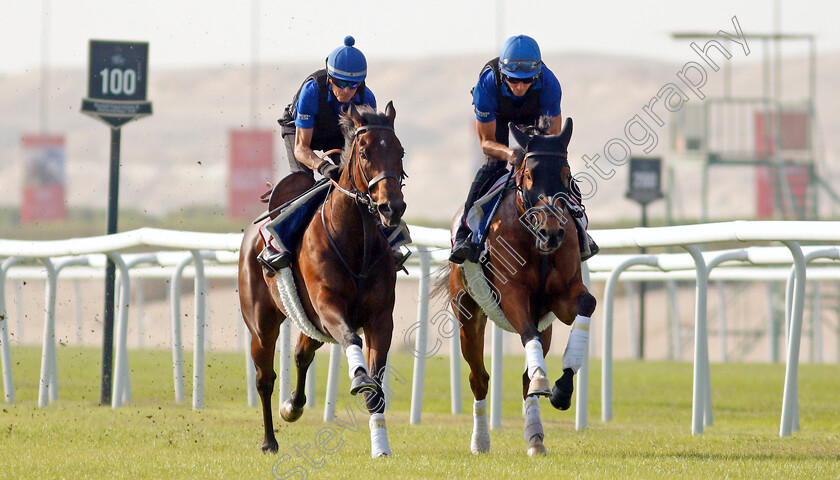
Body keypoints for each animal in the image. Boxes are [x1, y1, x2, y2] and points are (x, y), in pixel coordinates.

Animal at [238, 102, 406, 458]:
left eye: (399, 151)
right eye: (365, 153)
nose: (391, 207)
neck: (356, 245)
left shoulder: (380, 317)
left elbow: (376, 389)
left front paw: (381, 447)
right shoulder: (329, 306)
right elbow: (352, 340)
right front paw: (358, 377)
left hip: (309, 321)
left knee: (303, 354)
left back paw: (293, 406)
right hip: (262, 322)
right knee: (264, 378)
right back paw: (269, 440)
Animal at [446, 118, 596, 456]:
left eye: (566, 175)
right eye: (528, 176)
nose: (551, 232)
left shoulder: (561, 298)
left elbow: (586, 304)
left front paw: (562, 389)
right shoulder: (511, 293)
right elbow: (526, 333)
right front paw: (544, 379)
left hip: (546, 324)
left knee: (527, 374)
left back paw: (536, 437)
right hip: (467, 315)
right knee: (479, 378)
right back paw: (480, 441)